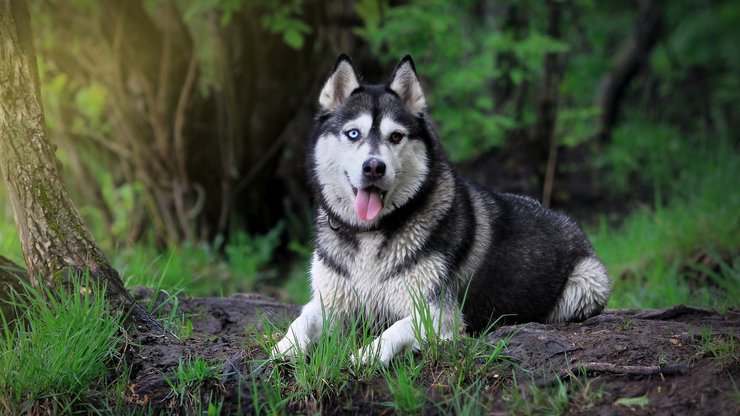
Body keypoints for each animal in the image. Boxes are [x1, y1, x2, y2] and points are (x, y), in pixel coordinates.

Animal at [274, 54, 608, 364]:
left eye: (396, 136)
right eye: (353, 133)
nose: (374, 167)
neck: (371, 233)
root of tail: (565, 219)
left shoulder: (438, 313)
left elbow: (394, 330)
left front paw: (366, 355)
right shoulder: (330, 301)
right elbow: (301, 321)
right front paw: (283, 348)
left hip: (588, 283)